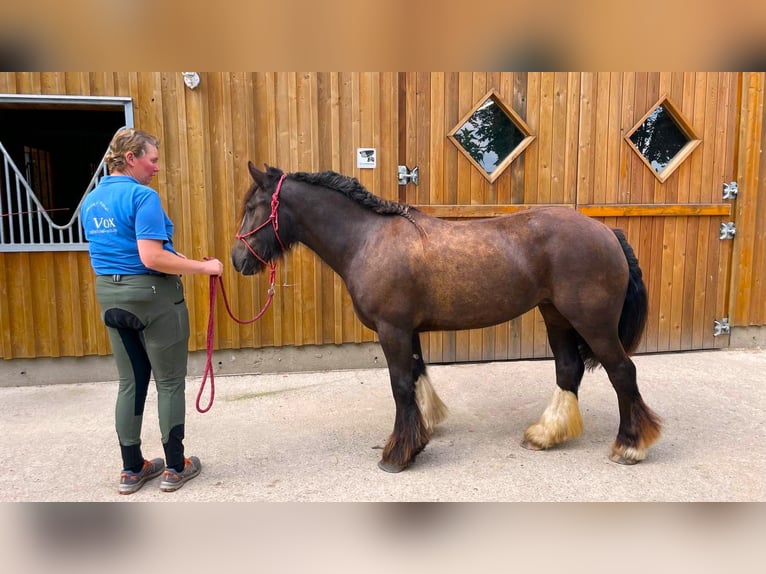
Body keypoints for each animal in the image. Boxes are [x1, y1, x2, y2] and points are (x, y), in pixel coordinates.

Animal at [231, 164, 664, 474]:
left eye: (252, 208)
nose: (237, 261)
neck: (367, 239)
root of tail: (607, 232)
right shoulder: (407, 331)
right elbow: (416, 376)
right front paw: (421, 432)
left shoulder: (392, 330)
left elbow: (400, 385)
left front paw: (398, 454)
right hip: (556, 316)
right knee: (568, 369)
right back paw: (545, 435)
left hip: (593, 322)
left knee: (622, 371)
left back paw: (629, 446)